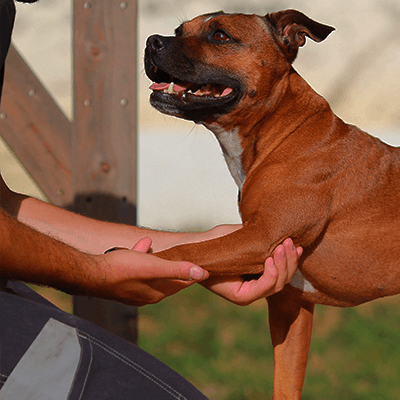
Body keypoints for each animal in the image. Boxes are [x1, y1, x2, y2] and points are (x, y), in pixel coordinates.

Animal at [144, 9, 400, 400]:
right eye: (178, 30)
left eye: (220, 36)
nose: (151, 41)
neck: (281, 132)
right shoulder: (290, 304)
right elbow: (286, 383)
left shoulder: (260, 238)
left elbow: (182, 250)